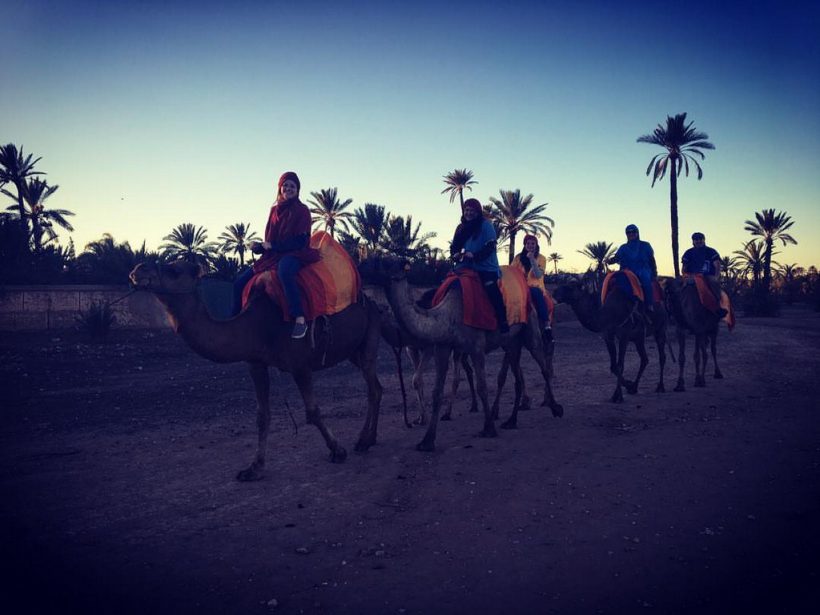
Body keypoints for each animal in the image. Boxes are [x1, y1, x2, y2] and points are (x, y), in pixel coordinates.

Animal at [128, 260, 384, 482]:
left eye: (174, 270)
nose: (138, 270)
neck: (257, 326)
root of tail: (371, 301)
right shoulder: (256, 364)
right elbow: (263, 416)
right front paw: (254, 468)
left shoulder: (300, 365)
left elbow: (312, 412)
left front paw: (338, 450)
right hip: (353, 351)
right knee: (377, 387)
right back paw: (369, 440)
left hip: (369, 335)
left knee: (372, 387)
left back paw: (363, 441)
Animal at [376, 262, 564, 452]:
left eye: (388, 263)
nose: (370, 271)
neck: (447, 314)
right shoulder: (442, 347)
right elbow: (437, 392)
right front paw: (427, 440)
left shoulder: (476, 348)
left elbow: (482, 387)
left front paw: (488, 428)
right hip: (511, 342)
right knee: (517, 376)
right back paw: (511, 420)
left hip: (530, 328)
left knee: (543, 366)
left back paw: (555, 408)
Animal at [552, 276, 668, 404]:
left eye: (570, 287)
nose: (554, 292)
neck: (606, 314)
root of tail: (662, 306)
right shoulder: (608, 336)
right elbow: (613, 366)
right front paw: (627, 386)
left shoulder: (624, 335)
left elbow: (620, 365)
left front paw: (618, 396)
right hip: (638, 338)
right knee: (644, 359)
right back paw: (634, 387)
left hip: (660, 329)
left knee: (661, 356)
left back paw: (660, 386)